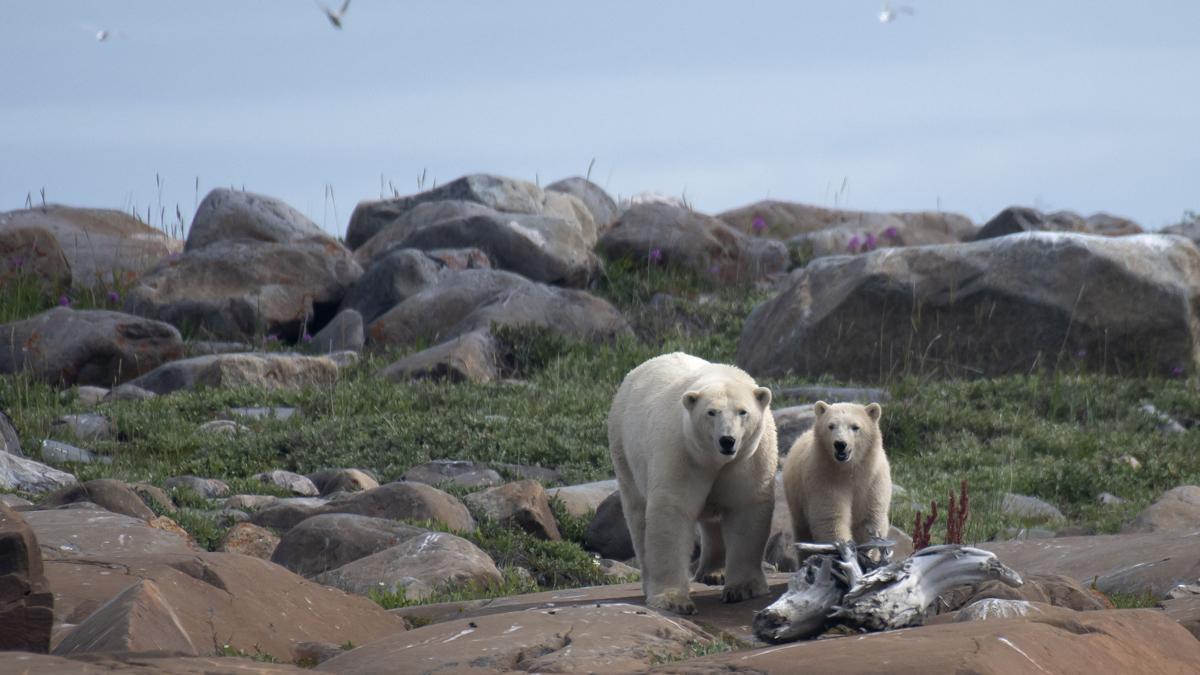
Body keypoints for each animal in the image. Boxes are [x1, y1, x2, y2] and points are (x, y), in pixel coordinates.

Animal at [609, 353, 777, 614]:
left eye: (743, 412)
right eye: (711, 412)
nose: (727, 440)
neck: (715, 460)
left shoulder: (749, 459)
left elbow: (746, 508)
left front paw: (743, 589)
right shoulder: (682, 453)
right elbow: (672, 511)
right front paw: (673, 600)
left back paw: (715, 571)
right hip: (624, 452)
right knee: (637, 517)